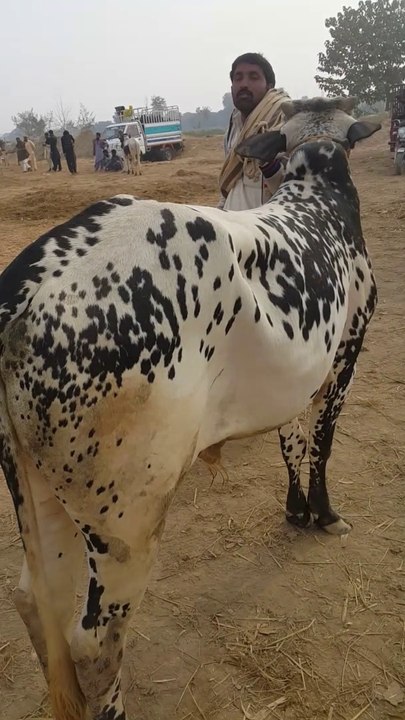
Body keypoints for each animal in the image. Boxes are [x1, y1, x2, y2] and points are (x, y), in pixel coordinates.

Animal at [0, 96, 379, 720]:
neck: (315, 195)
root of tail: (24, 290)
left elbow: (292, 442)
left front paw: (296, 510)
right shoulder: (347, 348)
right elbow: (321, 443)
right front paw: (324, 513)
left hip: (40, 489)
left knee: (35, 603)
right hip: (128, 516)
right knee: (94, 643)